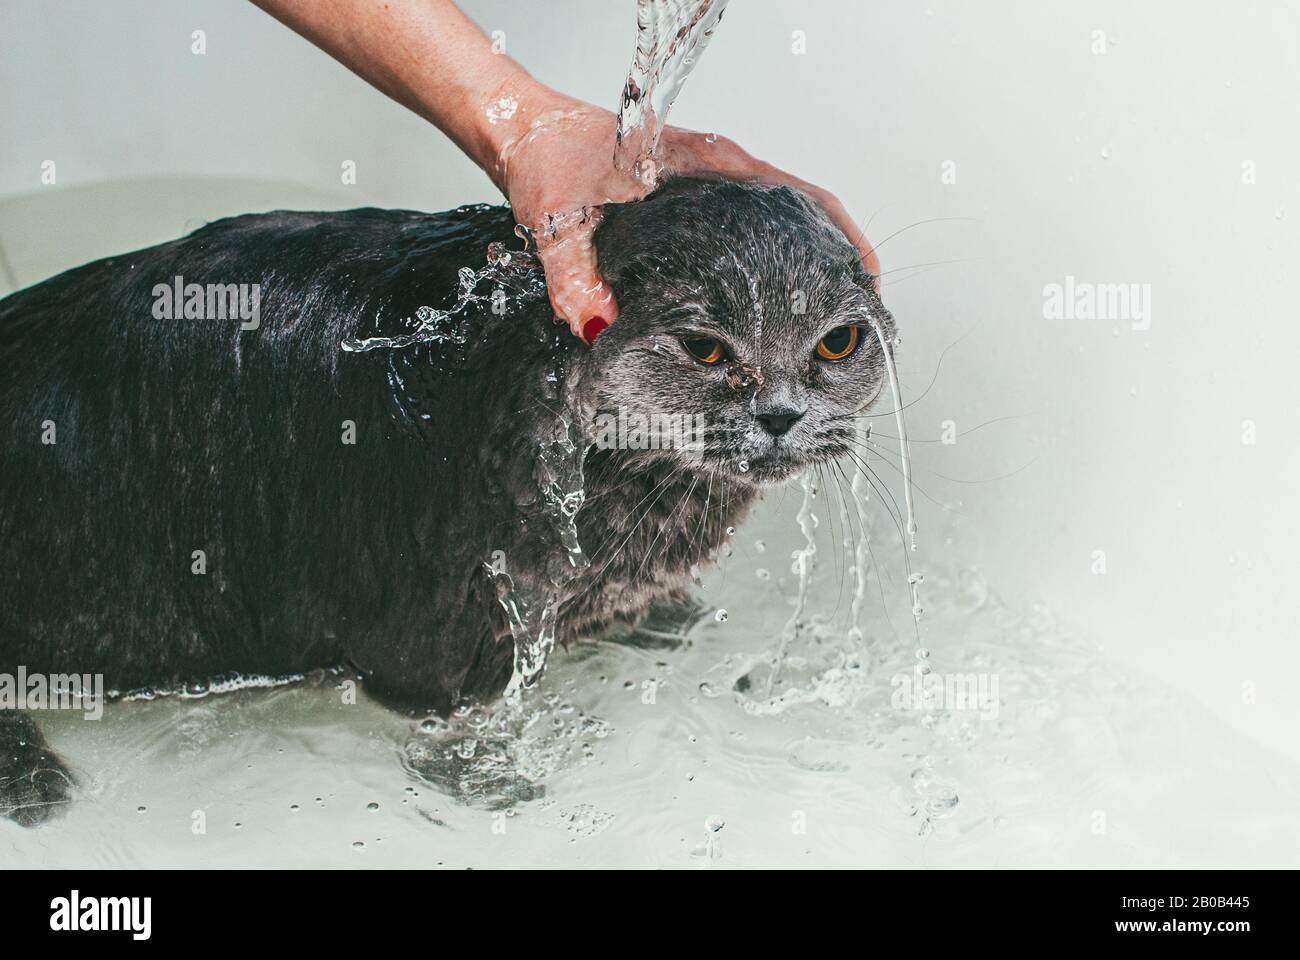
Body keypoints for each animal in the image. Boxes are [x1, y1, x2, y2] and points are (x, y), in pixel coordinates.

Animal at [0, 175, 894, 816]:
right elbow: (444, 712)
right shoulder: (429, 626)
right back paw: (31, 780)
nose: (781, 414)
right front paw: (486, 776)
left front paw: (656, 618)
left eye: (838, 342)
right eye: (707, 349)